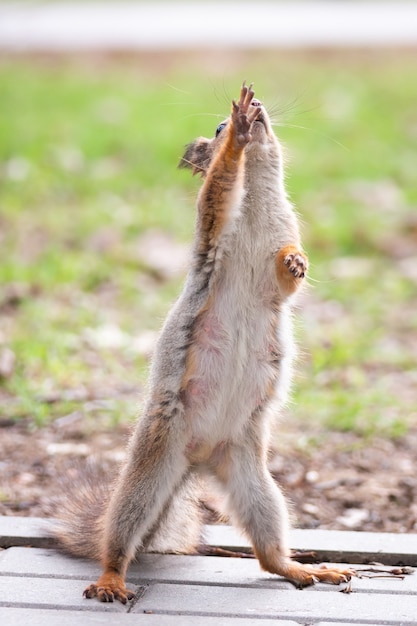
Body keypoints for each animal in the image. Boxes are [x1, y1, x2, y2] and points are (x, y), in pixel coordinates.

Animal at [53, 81, 352, 600]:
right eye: (214, 127)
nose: (256, 110)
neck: (257, 199)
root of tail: (199, 458)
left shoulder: (281, 243)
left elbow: (285, 282)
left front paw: (297, 262)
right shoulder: (212, 230)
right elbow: (217, 188)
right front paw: (237, 137)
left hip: (253, 479)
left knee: (267, 552)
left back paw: (302, 569)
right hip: (152, 466)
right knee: (120, 535)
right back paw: (111, 578)